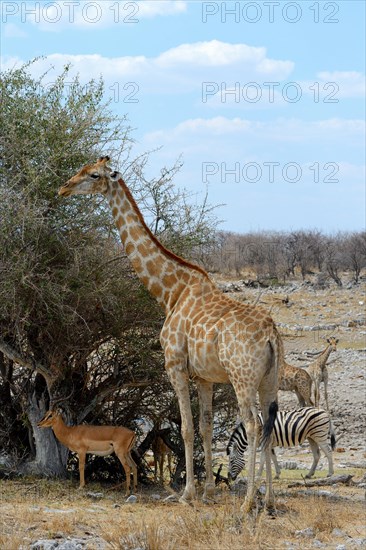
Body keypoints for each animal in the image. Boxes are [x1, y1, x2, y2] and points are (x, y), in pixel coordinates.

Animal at [59, 156, 284, 512]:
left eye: (93, 175)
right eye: (82, 169)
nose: (63, 188)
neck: (170, 292)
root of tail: (271, 335)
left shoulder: (175, 365)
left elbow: (187, 428)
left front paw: (187, 493)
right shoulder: (205, 377)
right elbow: (205, 428)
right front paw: (207, 492)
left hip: (242, 377)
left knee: (253, 424)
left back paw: (249, 502)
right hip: (269, 380)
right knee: (269, 427)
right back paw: (270, 501)